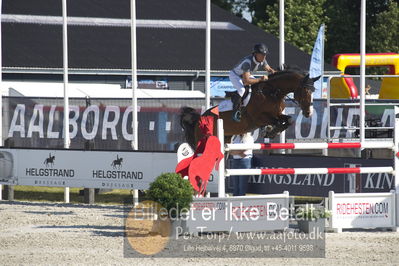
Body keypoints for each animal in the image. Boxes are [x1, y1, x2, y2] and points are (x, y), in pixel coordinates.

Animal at [181, 67, 322, 149]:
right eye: (305, 90)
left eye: (314, 90)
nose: (308, 113)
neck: (272, 92)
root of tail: (199, 119)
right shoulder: (259, 118)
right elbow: (276, 121)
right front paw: (270, 131)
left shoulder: (277, 114)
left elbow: (289, 120)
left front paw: (272, 131)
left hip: (226, 137)